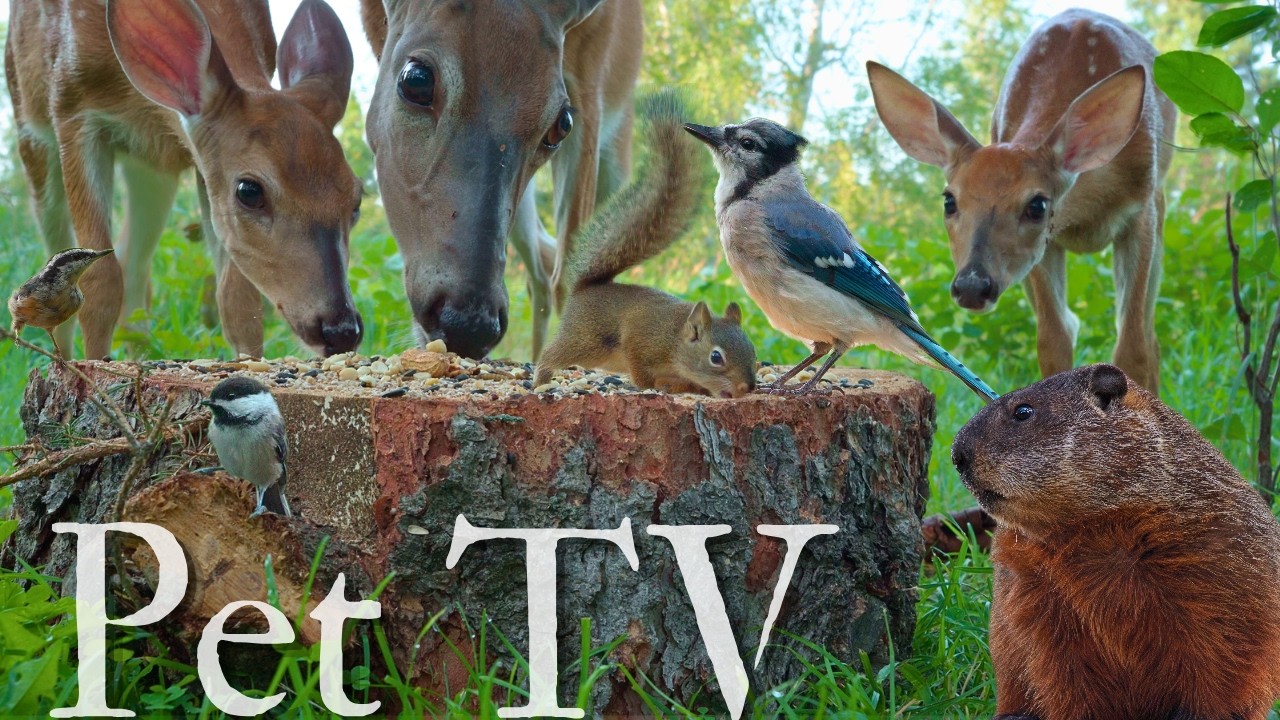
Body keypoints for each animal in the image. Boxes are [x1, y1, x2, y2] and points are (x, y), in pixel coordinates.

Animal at [6, 0, 365, 360]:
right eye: (249, 191)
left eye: (356, 200)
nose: (342, 330)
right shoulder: (72, 107)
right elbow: (100, 281)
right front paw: (92, 366)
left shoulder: (201, 162)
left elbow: (237, 297)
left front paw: (249, 362)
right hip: (32, 131)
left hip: (152, 170)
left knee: (134, 266)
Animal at [360, 0, 643, 359]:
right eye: (416, 80)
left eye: (562, 124)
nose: (469, 326)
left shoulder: (590, 76)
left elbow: (570, 274)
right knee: (540, 268)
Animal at [867, 9, 1176, 394]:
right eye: (949, 201)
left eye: (1037, 205)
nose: (972, 286)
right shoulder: (1044, 247)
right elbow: (1054, 339)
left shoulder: (1141, 211)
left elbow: (1134, 346)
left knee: (1150, 337)